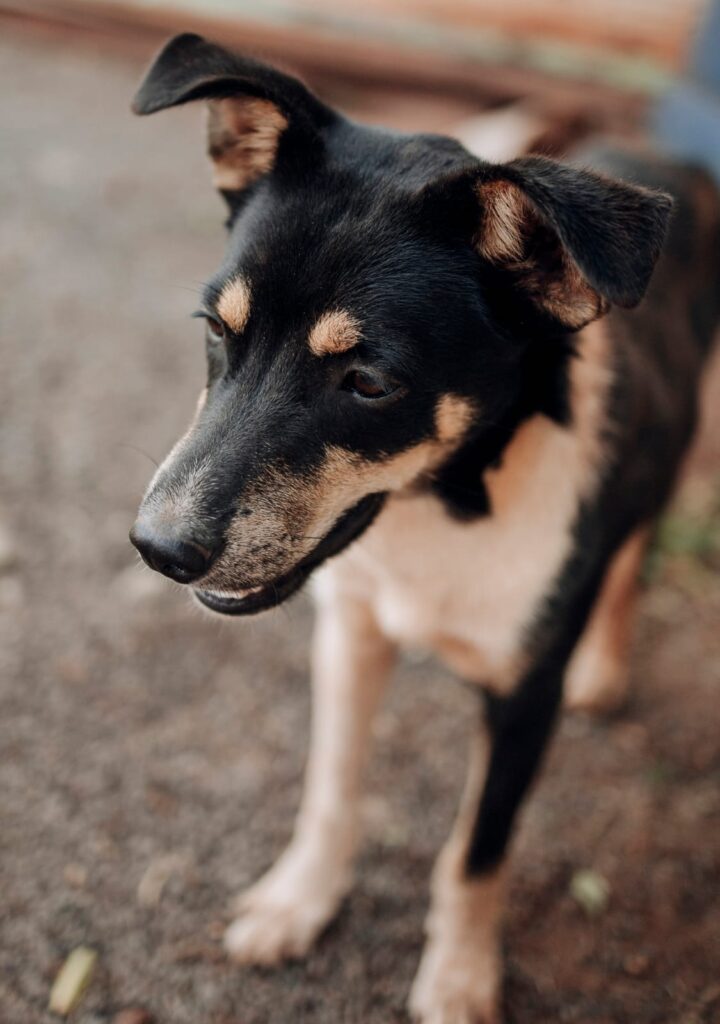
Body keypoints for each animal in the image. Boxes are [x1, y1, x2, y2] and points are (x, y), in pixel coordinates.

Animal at [131, 32, 720, 1024]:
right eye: (217, 329)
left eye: (368, 382)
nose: (158, 550)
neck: (446, 510)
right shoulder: (349, 632)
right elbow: (331, 789)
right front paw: (297, 903)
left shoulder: (524, 696)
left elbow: (476, 854)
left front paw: (457, 978)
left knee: (635, 545)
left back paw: (606, 663)